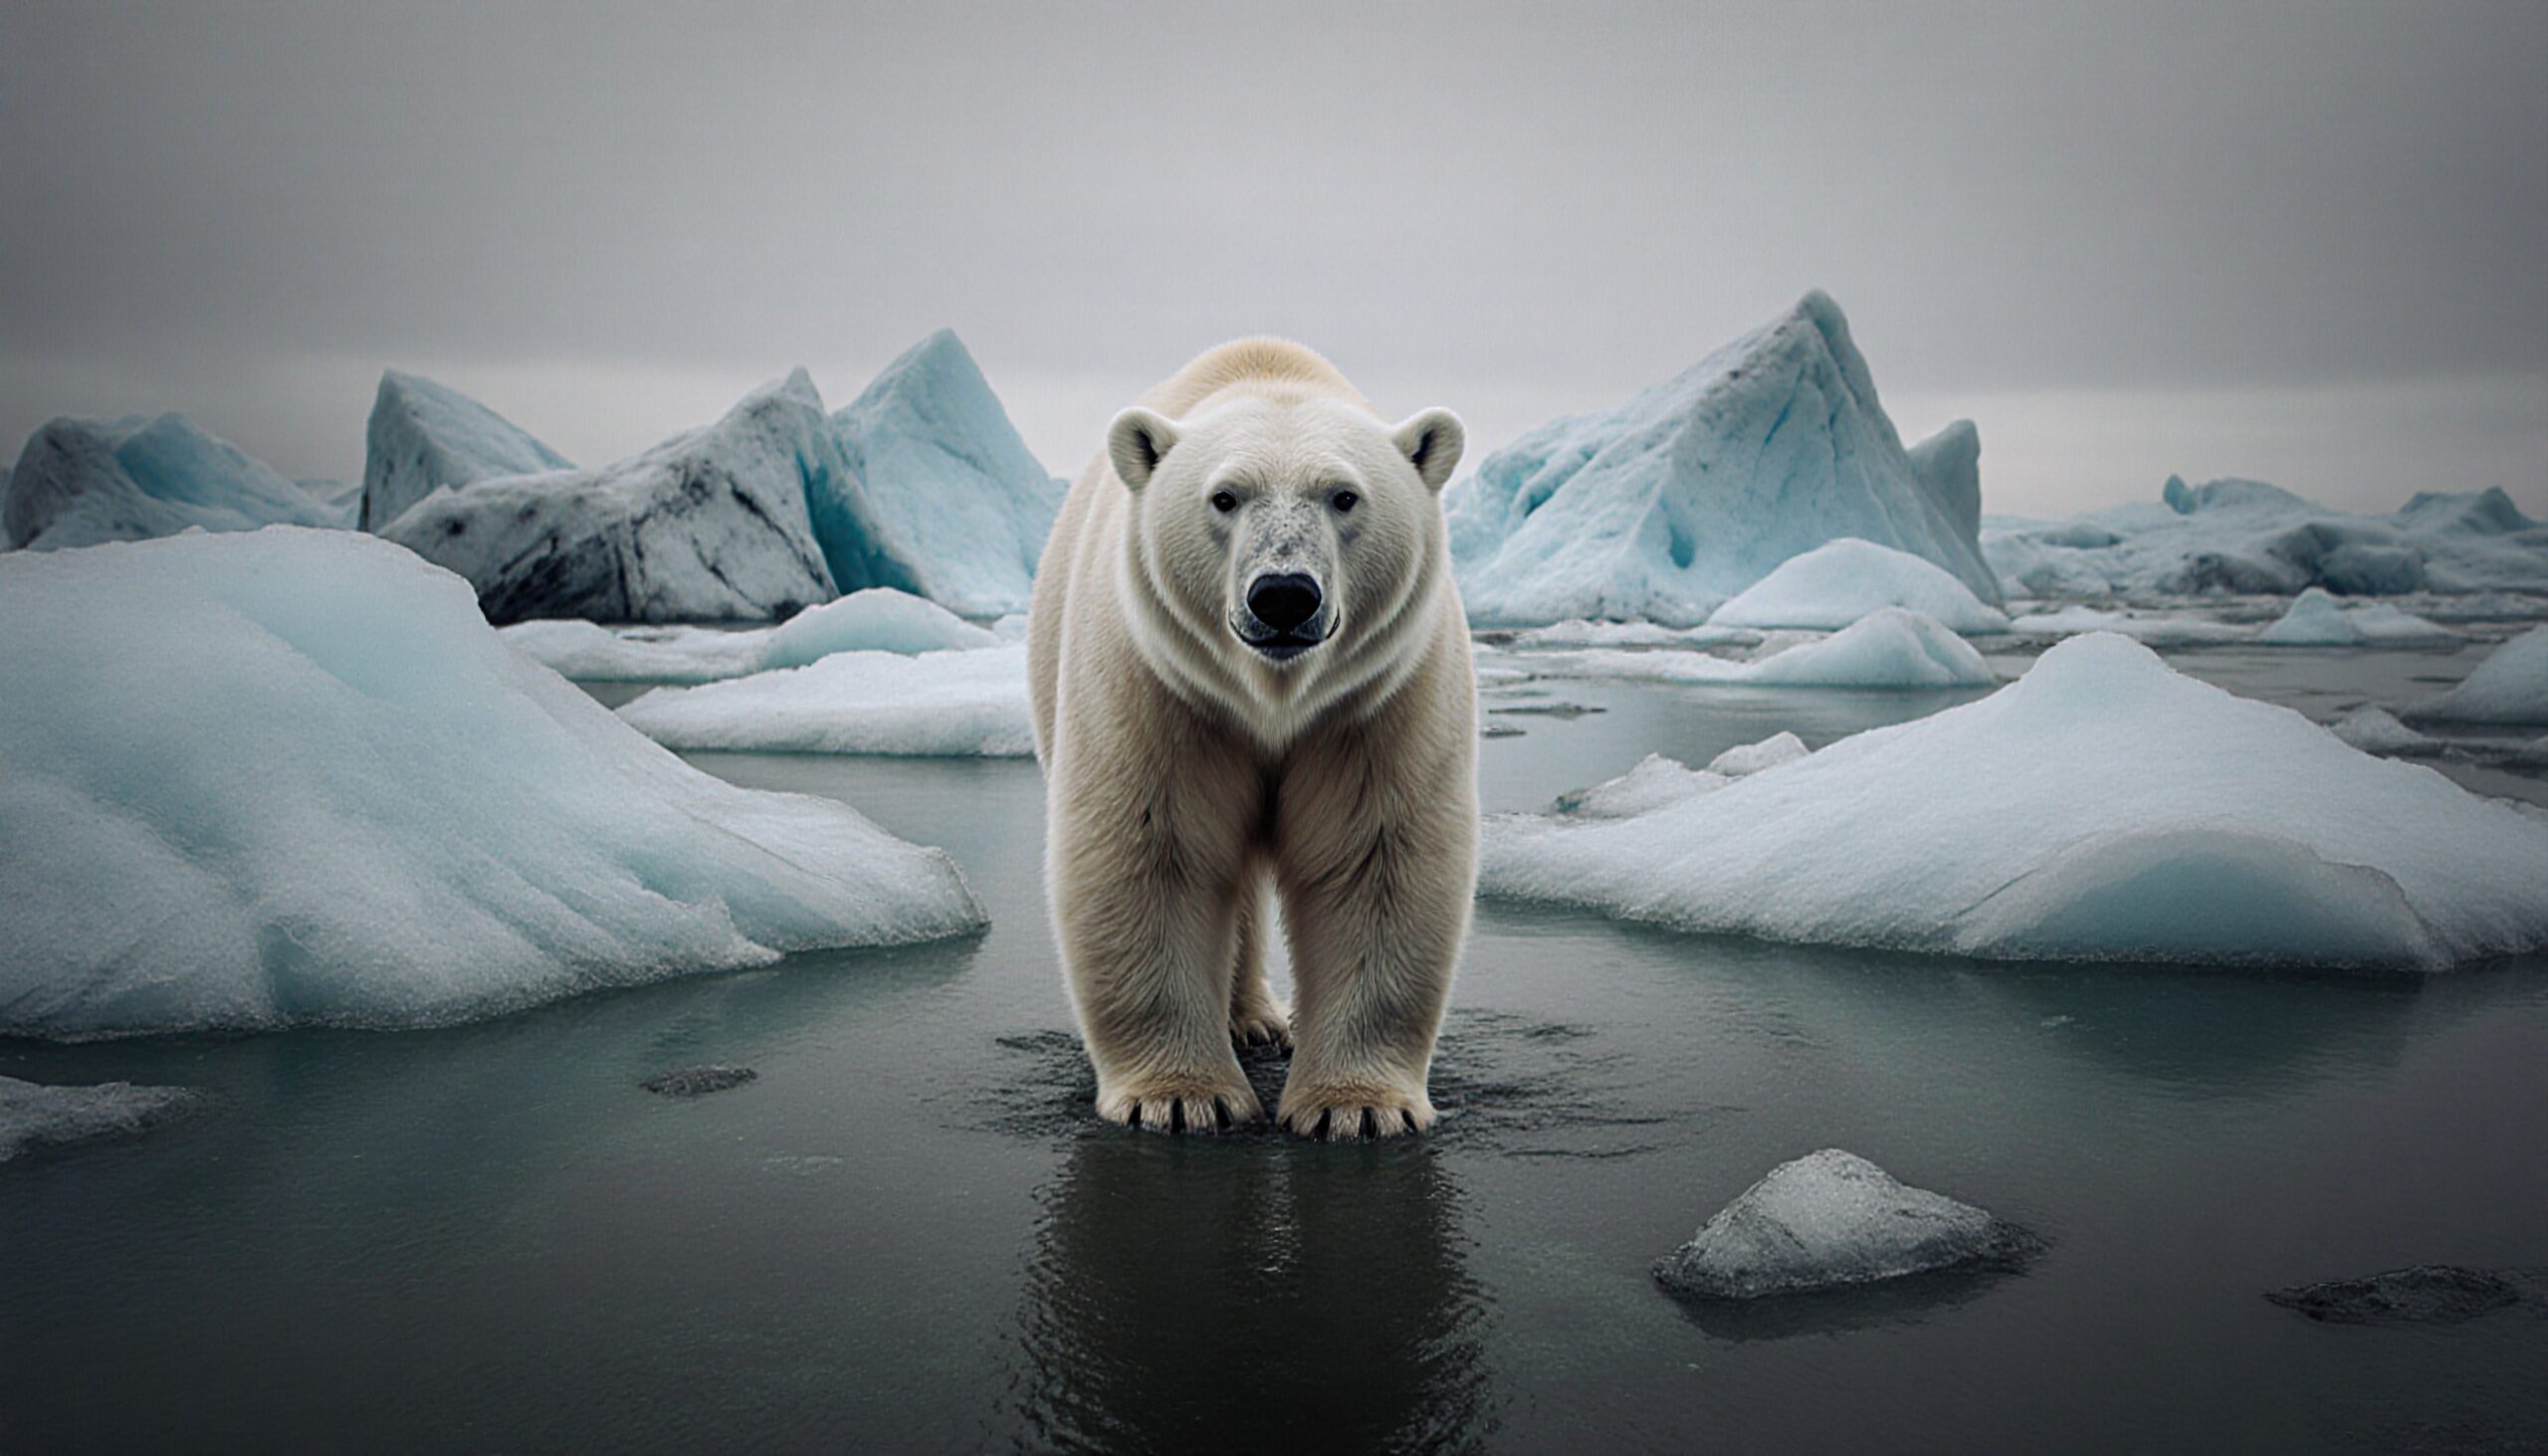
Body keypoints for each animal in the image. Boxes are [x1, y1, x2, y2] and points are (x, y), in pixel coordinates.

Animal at [1027, 339, 1475, 1140]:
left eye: (1344, 495)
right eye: (1225, 497)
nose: (1284, 595)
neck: (1273, 694)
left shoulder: (1377, 696)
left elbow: (1374, 858)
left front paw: (1356, 1107)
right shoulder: (1161, 684)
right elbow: (1154, 849)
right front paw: (1180, 1096)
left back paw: (1262, 1021)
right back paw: (1248, 1020)